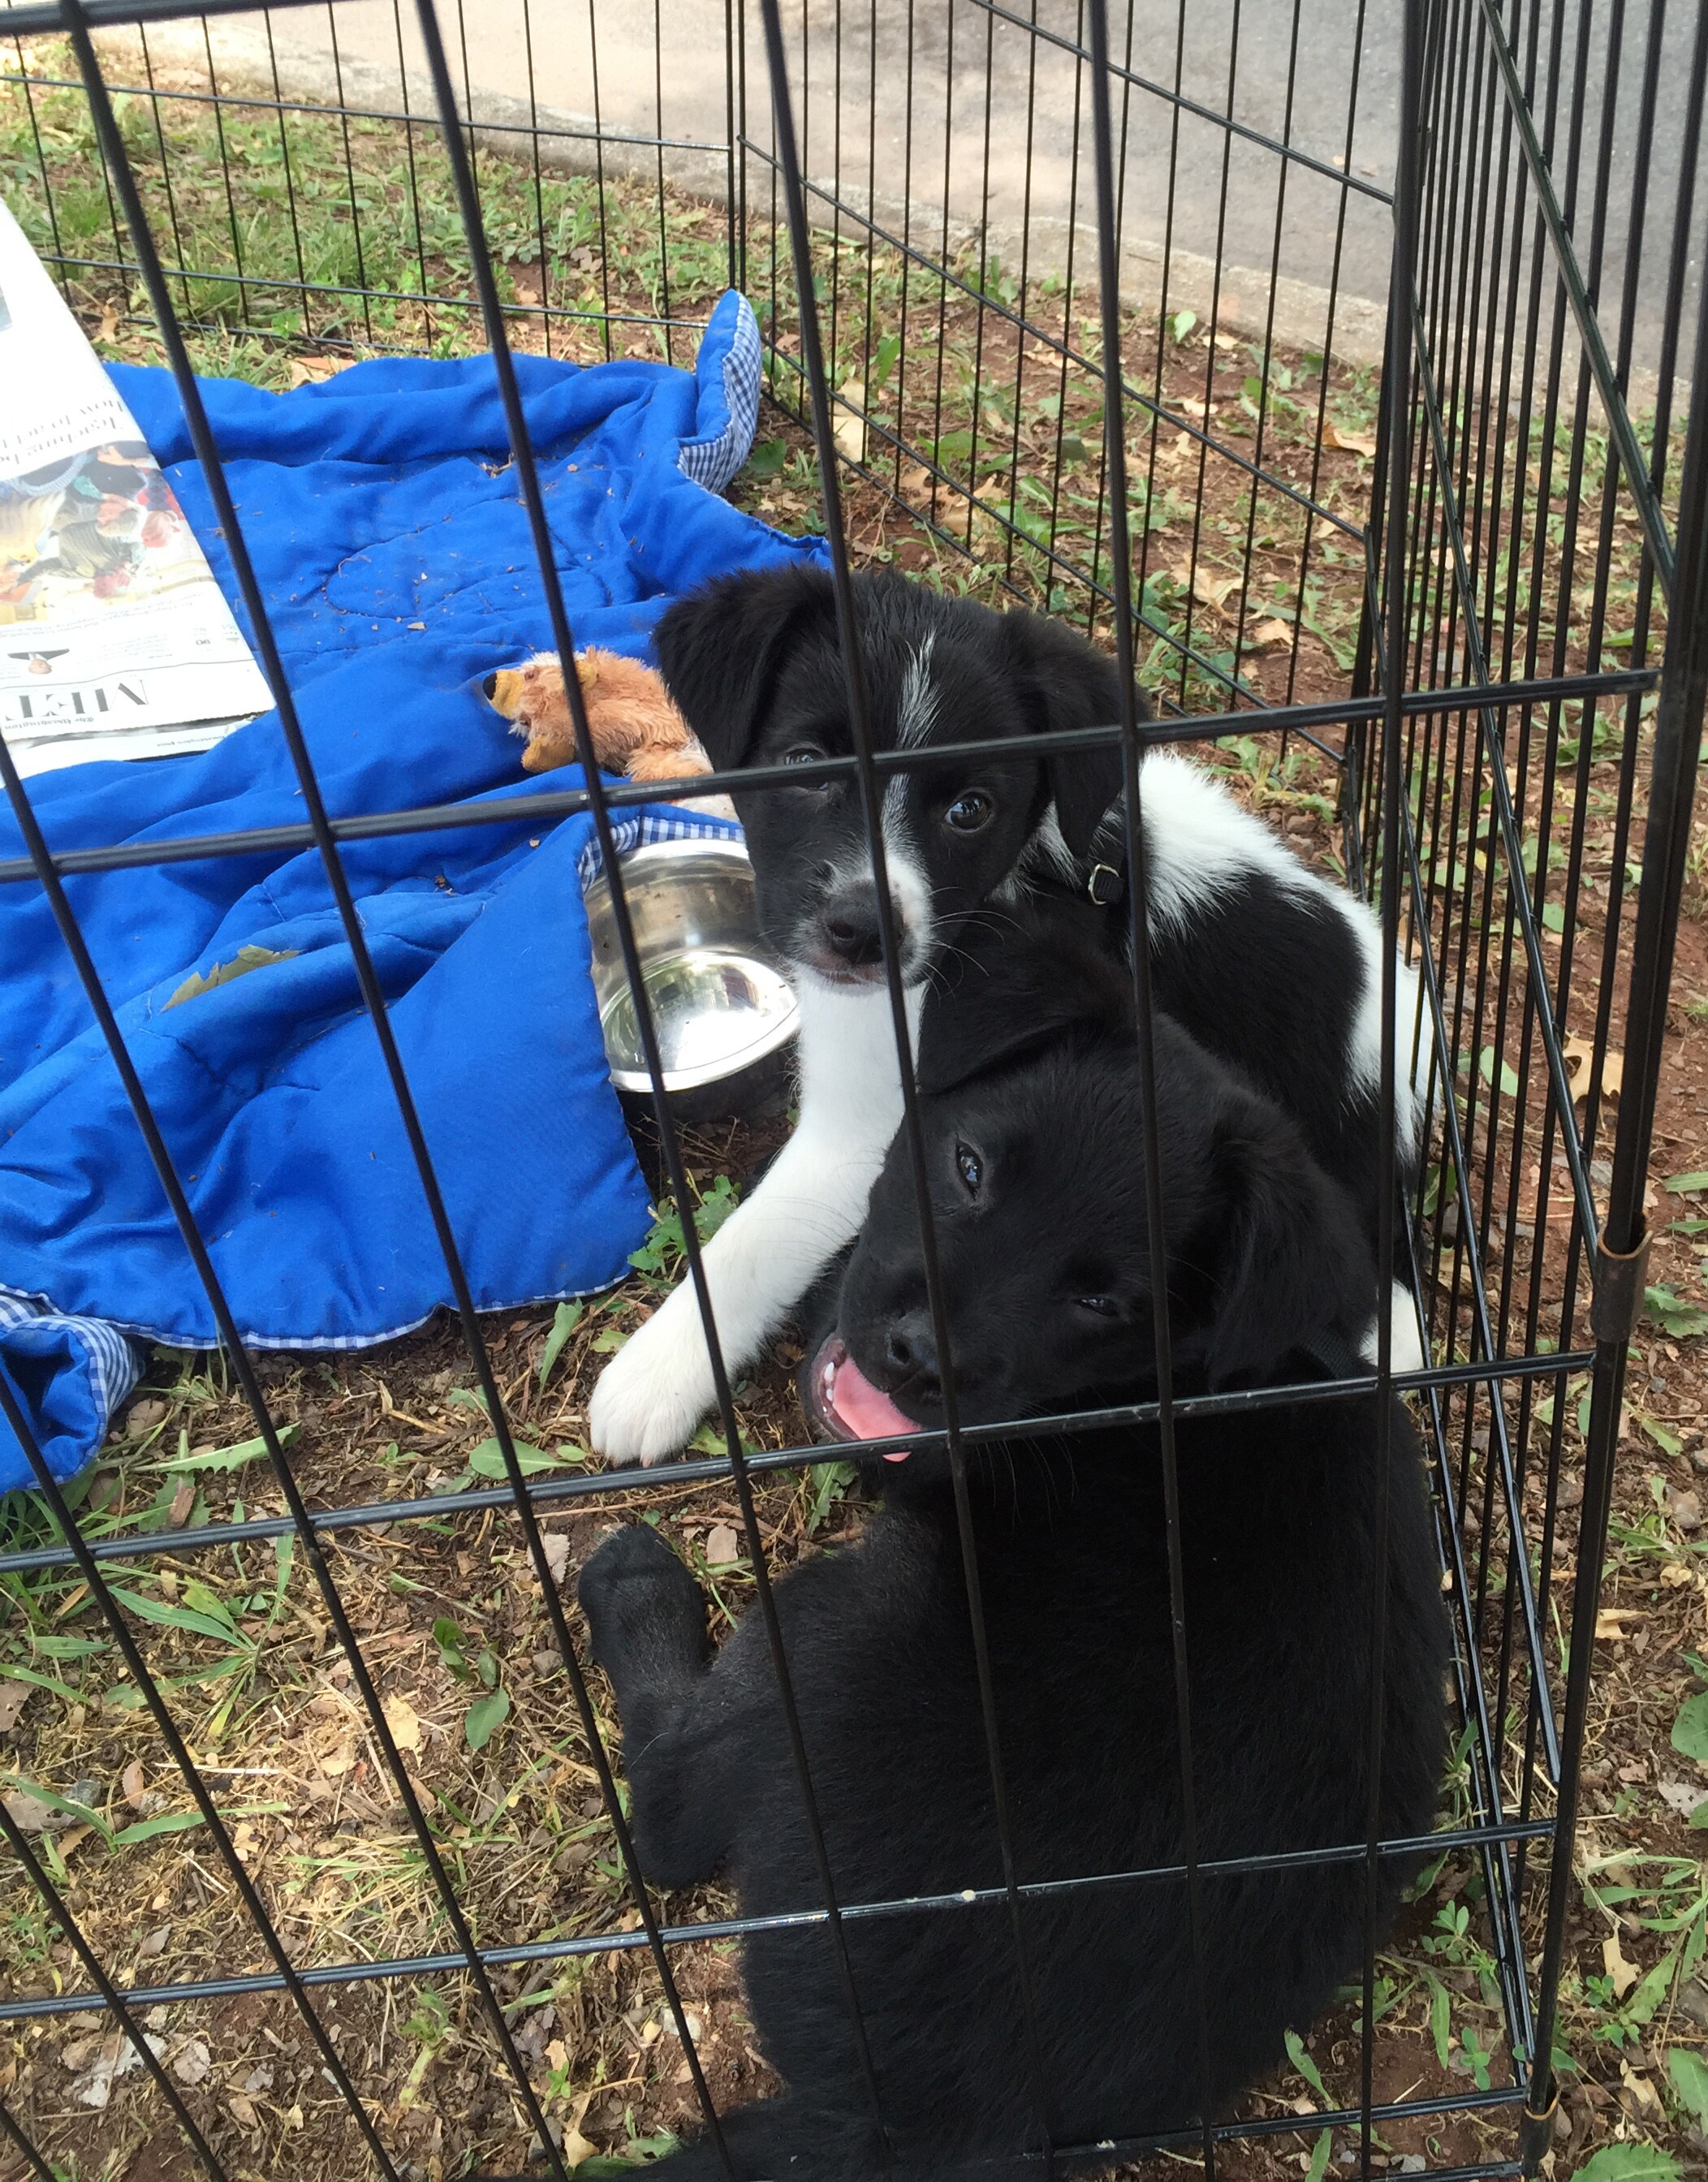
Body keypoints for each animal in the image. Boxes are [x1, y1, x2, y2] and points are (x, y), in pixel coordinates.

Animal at [580, 916, 1448, 2182]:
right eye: (971, 1167)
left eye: (1105, 1302)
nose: (913, 1358)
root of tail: (912, 2121)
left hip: (840, 1621)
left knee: (666, 1814)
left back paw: (634, 1591)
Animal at [593, 567, 1430, 1466]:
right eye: (805, 764)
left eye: (970, 809)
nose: (862, 932)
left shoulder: (870, 1127)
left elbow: (755, 1238)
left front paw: (656, 1370)